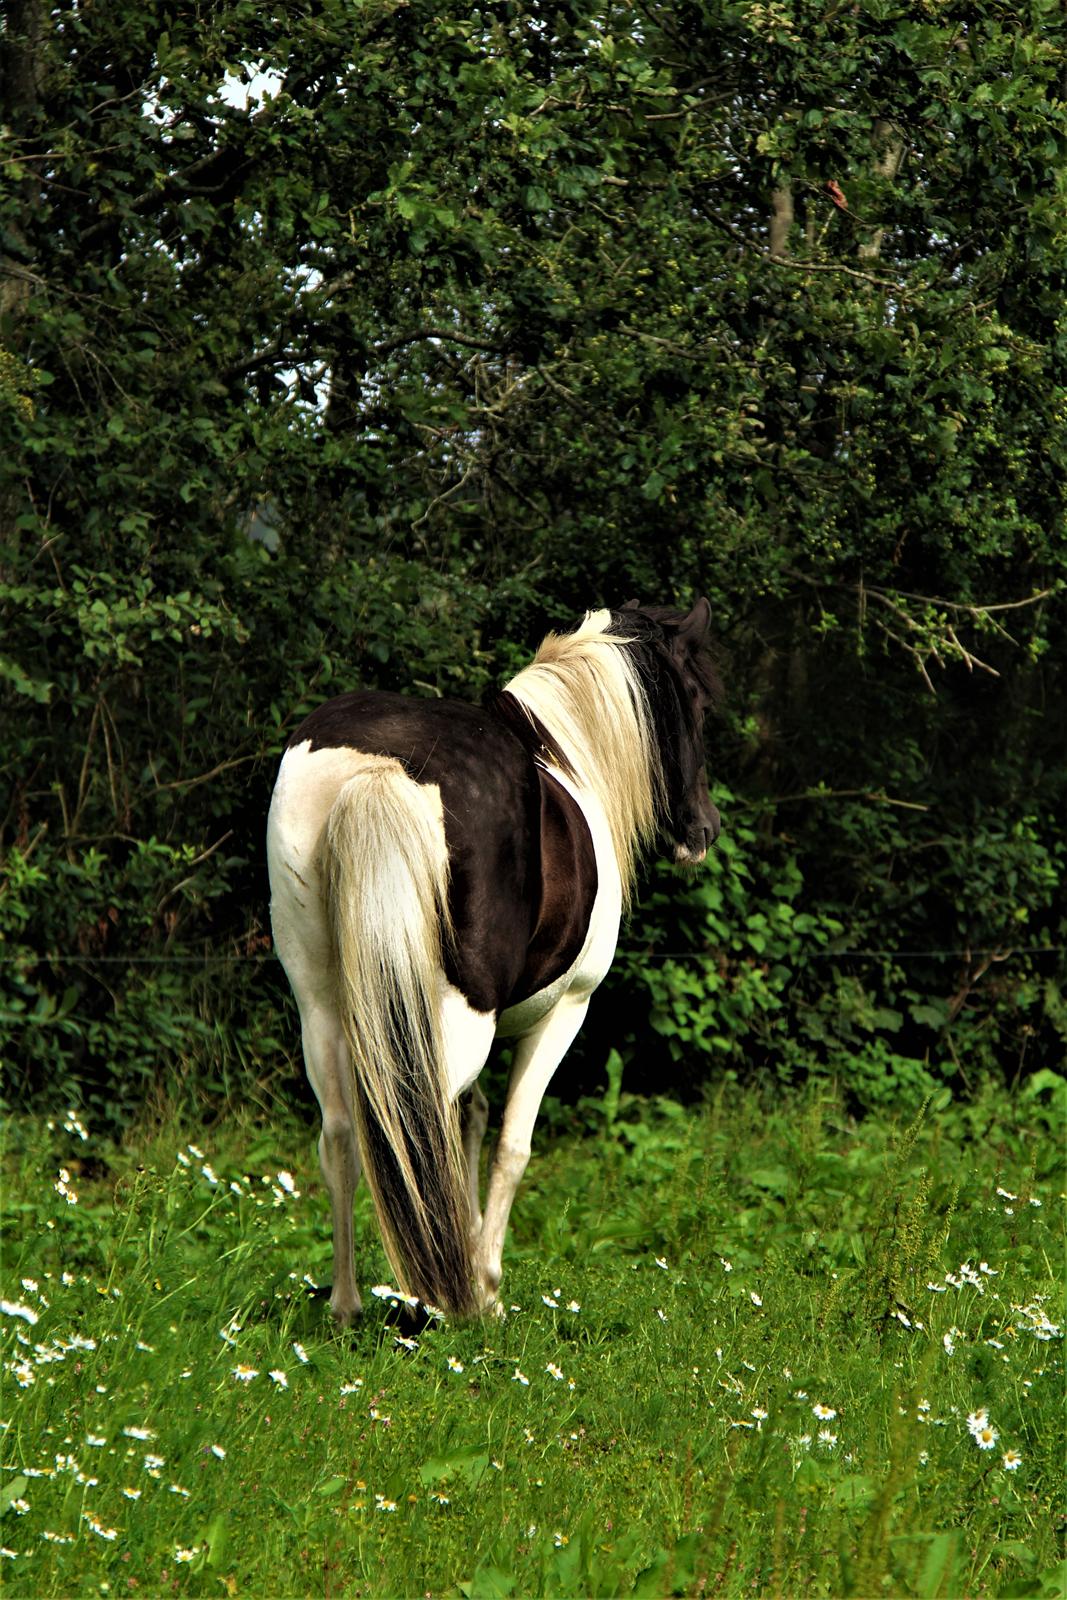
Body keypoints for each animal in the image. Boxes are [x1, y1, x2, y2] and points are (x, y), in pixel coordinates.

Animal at [265, 601, 726, 1312]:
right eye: (700, 705)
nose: (704, 831)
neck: (569, 751)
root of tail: (383, 766)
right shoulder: (567, 1010)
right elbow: (511, 1143)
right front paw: (486, 1286)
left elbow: (472, 1124)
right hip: (463, 1015)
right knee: (422, 1127)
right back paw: (445, 1303)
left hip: (320, 999)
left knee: (345, 1131)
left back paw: (348, 1304)